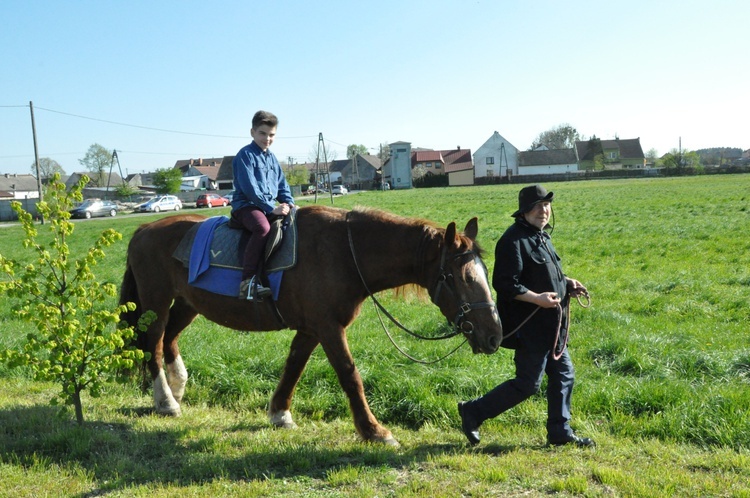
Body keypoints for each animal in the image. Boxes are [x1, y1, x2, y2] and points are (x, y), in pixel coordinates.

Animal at [120, 204, 502, 446]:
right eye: (463, 277)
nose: (494, 335)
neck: (345, 253)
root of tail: (142, 229)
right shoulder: (328, 328)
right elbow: (350, 375)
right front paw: (374, 431)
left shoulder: (311, 329)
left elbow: (294, 366)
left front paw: (280, 413)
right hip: (156, 304)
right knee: (153, 345)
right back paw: (166, 401)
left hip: (187, 304)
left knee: (168, 340)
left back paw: (177, 389)